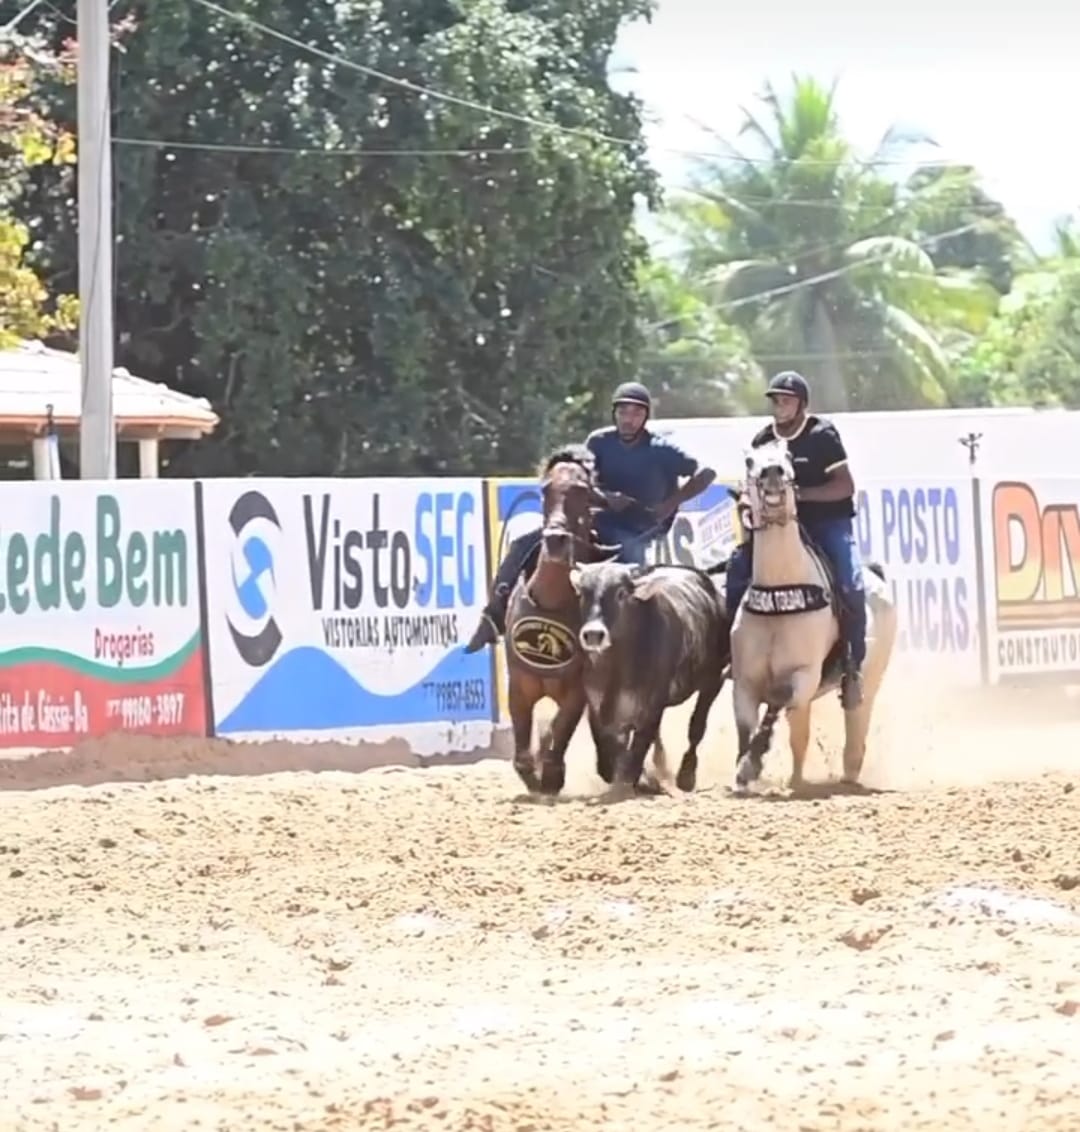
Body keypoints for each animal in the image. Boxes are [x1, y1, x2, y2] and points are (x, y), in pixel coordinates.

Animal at [502, 441, 615, 796]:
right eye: (545, 489)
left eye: (582, 491)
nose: (554, 539)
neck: (553, 599)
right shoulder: (519, 686)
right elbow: (525, 743)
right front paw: (534, 774)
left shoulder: (577, 692)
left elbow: (561, 728)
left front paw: (552, 776)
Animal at [568, 559, 729, 796]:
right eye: (582, 593)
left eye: (621, 593)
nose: (593, 634)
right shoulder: (596, 703)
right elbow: (607, 753)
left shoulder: (653, 705)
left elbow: (638, 747)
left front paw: (631, 782)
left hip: (713, 679)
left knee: (696, 727)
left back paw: (685, 776)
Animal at [729, 436, 896, 792]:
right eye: (750, 460)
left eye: (789, 455)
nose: (773, 472)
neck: (780, 594)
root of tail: (875, 574)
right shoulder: (744, 682)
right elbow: (746, 726)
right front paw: (742, 772)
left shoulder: (803, 675)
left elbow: (777, 706)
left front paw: (751, 766)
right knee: (801, 736)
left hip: (871, 679)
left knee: (854, 728)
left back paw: (844, 776)